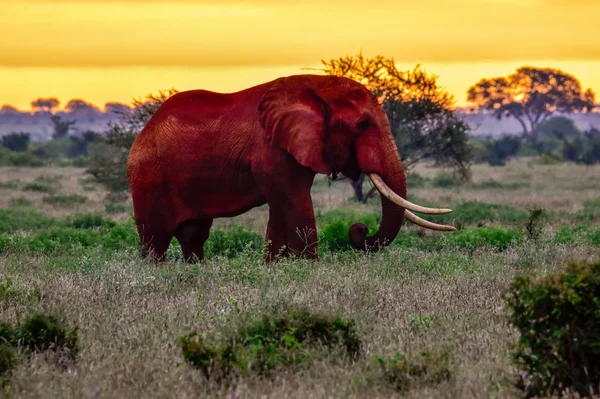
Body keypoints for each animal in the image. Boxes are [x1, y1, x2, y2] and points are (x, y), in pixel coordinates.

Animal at [127, 74, 454, 264]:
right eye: (362, 125)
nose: (360, 229)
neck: (315, 88)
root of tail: (142, 132)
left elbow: (281, 206)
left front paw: (275, 266)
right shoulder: (271, 150)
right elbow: (294, 200)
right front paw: (305, 267)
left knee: (194, 234)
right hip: (149, 178)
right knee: (156, 239)